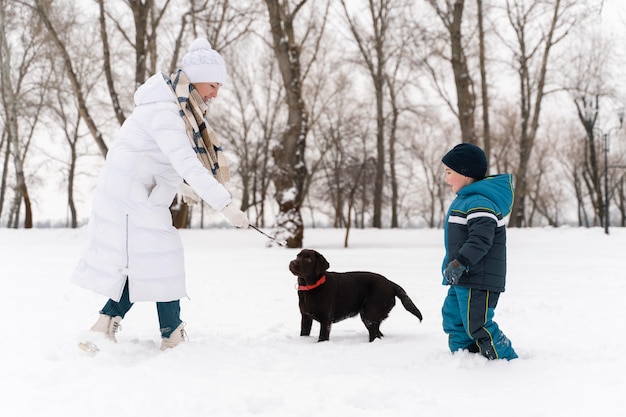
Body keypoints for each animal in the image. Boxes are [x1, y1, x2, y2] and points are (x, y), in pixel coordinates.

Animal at [290, 247, 422, 342]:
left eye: (308, 259)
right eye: (298, 256)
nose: (292, 263)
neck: (311, 287)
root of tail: (390, 283)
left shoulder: (326, 319)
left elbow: (322, 337)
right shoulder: (306, 317)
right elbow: (304, 332)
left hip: (369, 313)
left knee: (375, 335)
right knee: (378, 333)